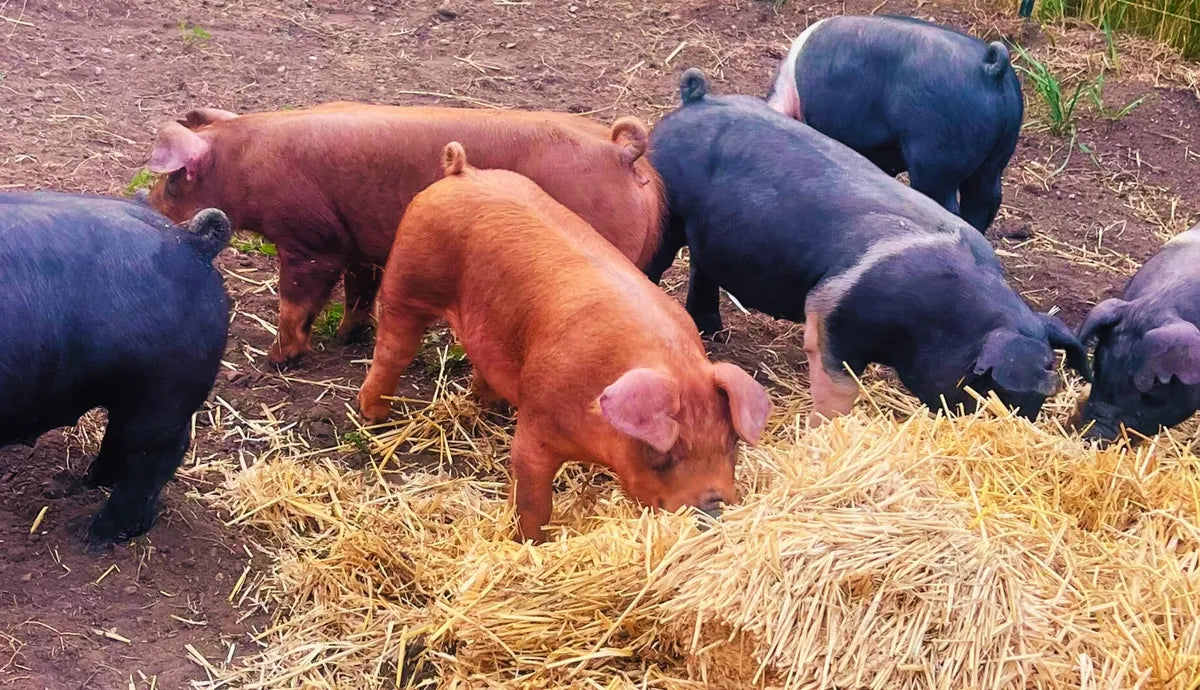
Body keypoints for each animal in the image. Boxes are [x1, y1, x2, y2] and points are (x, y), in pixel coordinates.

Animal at [0, 192, 231, 544]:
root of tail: (189, 241)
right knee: (121, 434)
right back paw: (91, 480)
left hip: (164, 393)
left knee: (152, 455)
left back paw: (96, 536)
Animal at [142, 102, 664, 367]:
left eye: (173, 180)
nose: (147, 204)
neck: (243, 162)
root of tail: (620, 151)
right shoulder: (358, 240)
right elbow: (360, 289)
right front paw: (350, 338)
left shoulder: (309, 240)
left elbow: (297, 300)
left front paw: (275, 359)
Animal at [357, 142, 771, 543]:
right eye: (661, 454)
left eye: (732, 444)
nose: (713, 508)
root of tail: (462, 171)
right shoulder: (537, 421)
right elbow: (531, 495)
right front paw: (528, 543)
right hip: (408, 279)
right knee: (393, 348)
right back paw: (374, 415)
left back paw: (486, 405)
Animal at [647, 69, 1088, 424]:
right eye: (996, 391)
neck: (938, 317)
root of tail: (697, 99)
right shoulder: (827, 308)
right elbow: (838, 386)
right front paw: (825, 429)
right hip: (667, 212)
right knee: (656, 262)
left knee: (702, 266)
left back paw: (712, 331)